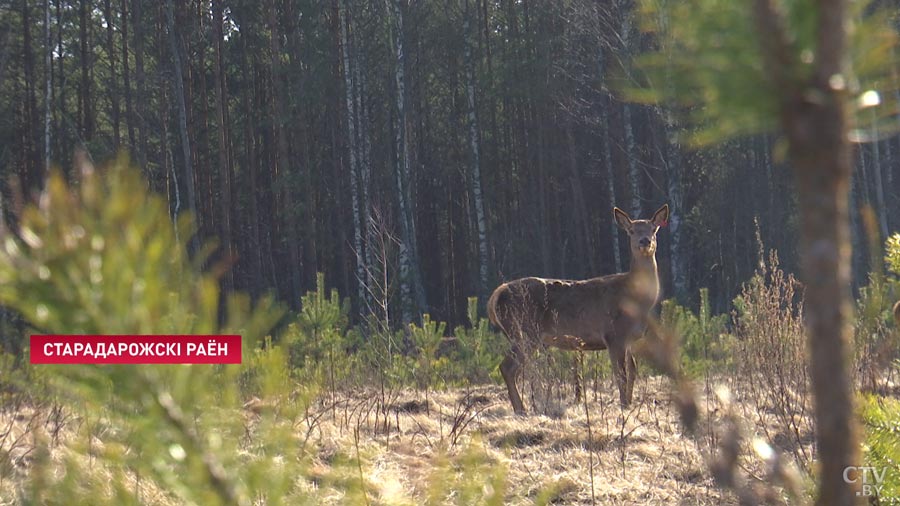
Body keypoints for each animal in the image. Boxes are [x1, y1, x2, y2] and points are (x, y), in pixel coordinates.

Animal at [486, 205, 668, 416]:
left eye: (654, 229)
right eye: (631, 231)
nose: (645, 241)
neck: (637, 299)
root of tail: (497, 296)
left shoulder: (629, 339)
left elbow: (632, 371)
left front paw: (628, 405)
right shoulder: (613, 334)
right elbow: (620, 375)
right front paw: (623, 408)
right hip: (524, 331)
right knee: (507, 367)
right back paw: (521, 410)